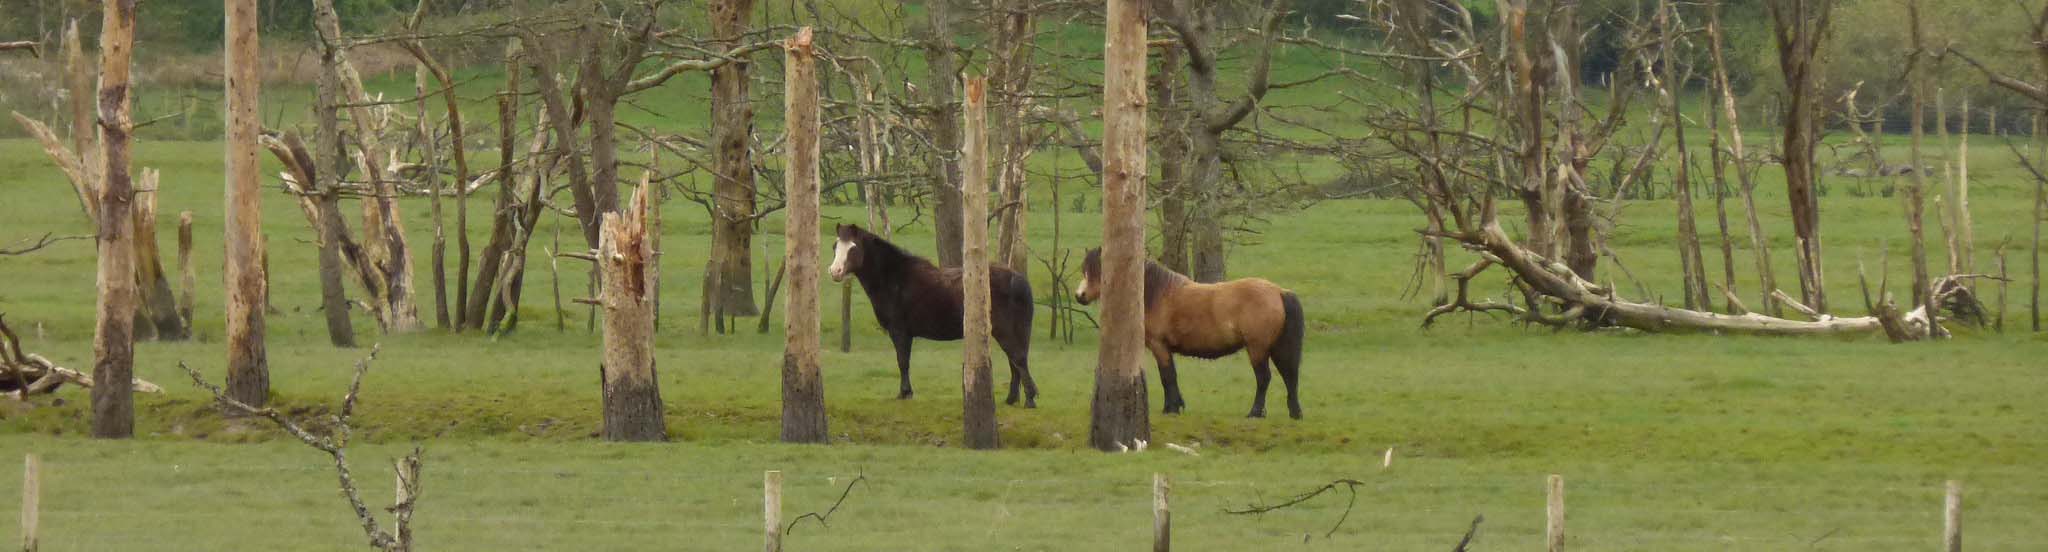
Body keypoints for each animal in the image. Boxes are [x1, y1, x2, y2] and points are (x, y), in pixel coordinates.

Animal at [829, 223, 1040, 407]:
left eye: (853, 248)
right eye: (835, 246)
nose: (835, 271)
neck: (894, 278)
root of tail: (1017, 279)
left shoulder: (899, 331)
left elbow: (902, 361)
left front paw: (905, 393)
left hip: (1005, 331)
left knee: (1018, 359)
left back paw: (1030, 399)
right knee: (1015, 362)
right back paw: (1011, 399)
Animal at [1075, 249, 1305, 419]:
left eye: (1098, 271)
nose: (1080, 296)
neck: (1157, 294)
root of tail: (1279, 292)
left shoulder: (1159, 345)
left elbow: (1167, 376)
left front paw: (1171, 408)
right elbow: (1171, 376)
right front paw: (1176, 405)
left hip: (1257, 348)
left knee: (1264, 378)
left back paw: (1255, 413)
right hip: (1275, 348)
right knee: (1289, 376)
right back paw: (1294, 413)